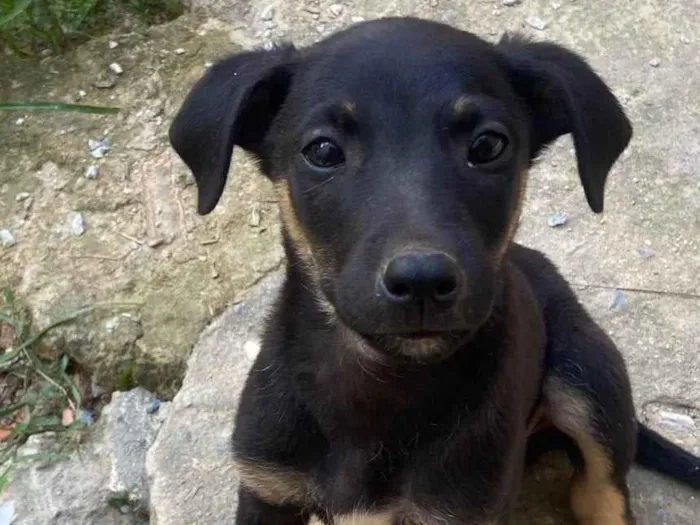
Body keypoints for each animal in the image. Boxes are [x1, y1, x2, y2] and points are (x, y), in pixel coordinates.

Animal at [170, 17, 700, 524]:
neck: (379, 383)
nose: (421, 281)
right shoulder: (267, 488)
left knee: (601, 492)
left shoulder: (460, 511)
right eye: (322, 151)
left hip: (587, 372)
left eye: (488, 145)